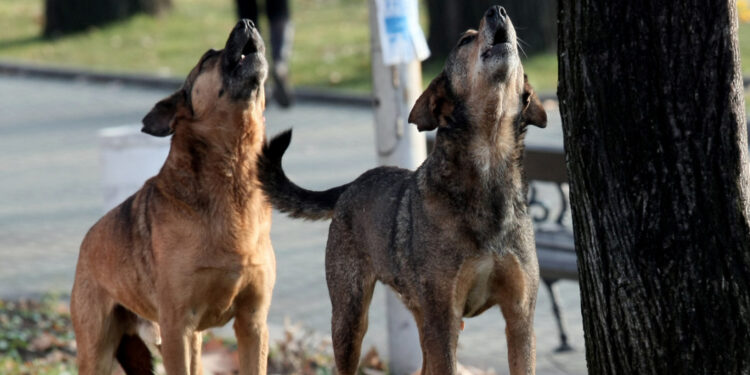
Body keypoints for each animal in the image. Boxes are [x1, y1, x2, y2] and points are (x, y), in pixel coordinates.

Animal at [70, 19, 274, 374]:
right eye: (207, 58)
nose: (247, 22)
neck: (233, 173)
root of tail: (86, 243)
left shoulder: (253, 323)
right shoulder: (177, 327)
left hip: (192, 342)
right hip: (98, 349)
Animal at [258, 5, 548, 375]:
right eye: (465, 40)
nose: (497, 10)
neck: (488, 175)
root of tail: (353, 184)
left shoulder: (520, 316)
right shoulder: (444, 319)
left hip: (416, 316)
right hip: (350, 318)